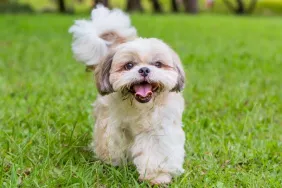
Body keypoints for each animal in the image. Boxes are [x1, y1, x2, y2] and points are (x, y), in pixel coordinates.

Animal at [69, 4, 185, 185]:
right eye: (129, 65)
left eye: (158, 64)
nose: (144, 69)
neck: (140, 108)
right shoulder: (113, 127)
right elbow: (114, 145)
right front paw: (114, 165)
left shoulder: (158, 130)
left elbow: (156, 153)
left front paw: (156, 177)